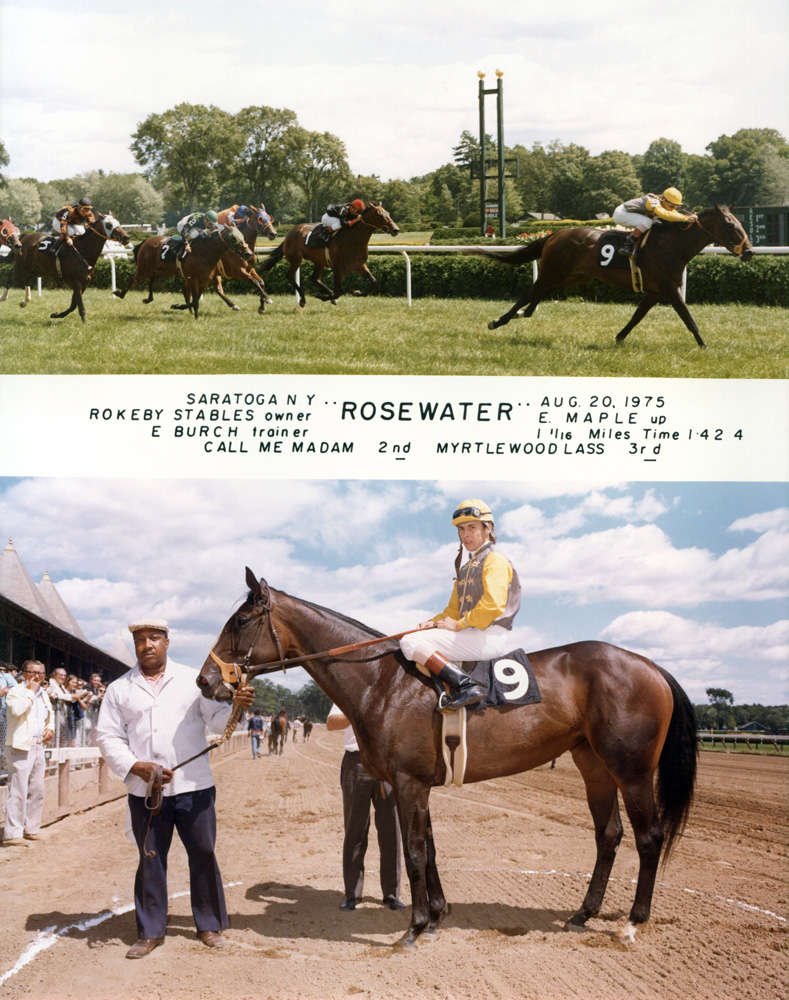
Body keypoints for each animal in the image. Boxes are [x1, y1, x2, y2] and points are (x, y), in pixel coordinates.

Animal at [0, 211, 129, 320]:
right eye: (108, 224)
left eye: (118, 222)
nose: (126, 237)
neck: (82, 251)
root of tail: (24, 237)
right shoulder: (76, 282)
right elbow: (80, 306)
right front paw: (84, 323)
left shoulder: (84, 283)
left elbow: (73, 305)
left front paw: (56, 315)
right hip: (21, 265)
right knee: (11, 275)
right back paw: (3, 297)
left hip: (36, 269)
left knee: (26, 278)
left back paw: (25, 301)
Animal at [111, 227, 251, 320]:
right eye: (234, 238)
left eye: (243, 236)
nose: (248, 253)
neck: (205, 253)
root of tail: (145, 241)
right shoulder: (193, 279)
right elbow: (194, 300)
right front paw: (183, 309)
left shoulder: (204, 281)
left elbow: (195, 300)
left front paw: (184, 309)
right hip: (144, 269)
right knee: (132, 278)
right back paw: (119, 293)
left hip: (164, 271)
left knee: (151, 279)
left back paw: (148, 299)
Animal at [197, 572, 696, 952]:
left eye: (240, 620)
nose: (205, 681)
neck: (382, 679)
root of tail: (649, 664)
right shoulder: (415, 784)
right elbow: (431, 849)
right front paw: (435, 917)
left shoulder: (408, 782)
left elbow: (415, 852)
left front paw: (414, 928)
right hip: (593, 766)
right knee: (608, 835)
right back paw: (583, 913)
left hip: (632, 770)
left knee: (649, 837)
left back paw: (631, 922)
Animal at [258, 203, 400, 308]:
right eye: (379, 215)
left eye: (388, 213)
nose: (396, 229)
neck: (353, 239)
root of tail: (290, 232)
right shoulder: (338, 269)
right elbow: (338, 293)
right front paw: (321, 296)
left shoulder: (359, 266)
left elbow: (373, 281)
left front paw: (357, 292)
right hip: (296, 260)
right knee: (290, 276)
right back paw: (303, 299)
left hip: (319, 262)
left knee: (315, 278)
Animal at [468, 203, 752, 348]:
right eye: (730, 225)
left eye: (740, 222)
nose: (749, 251)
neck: (672, 245)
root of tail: (555, 233)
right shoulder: (670, 290)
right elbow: (689, 319)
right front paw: (704, 346)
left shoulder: (654, 292)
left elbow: (636, 317)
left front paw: (618, 338)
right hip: (554, 271)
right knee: (529, 292)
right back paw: (499, 320)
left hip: (572, 276)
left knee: (537, 295)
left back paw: (521, 314)